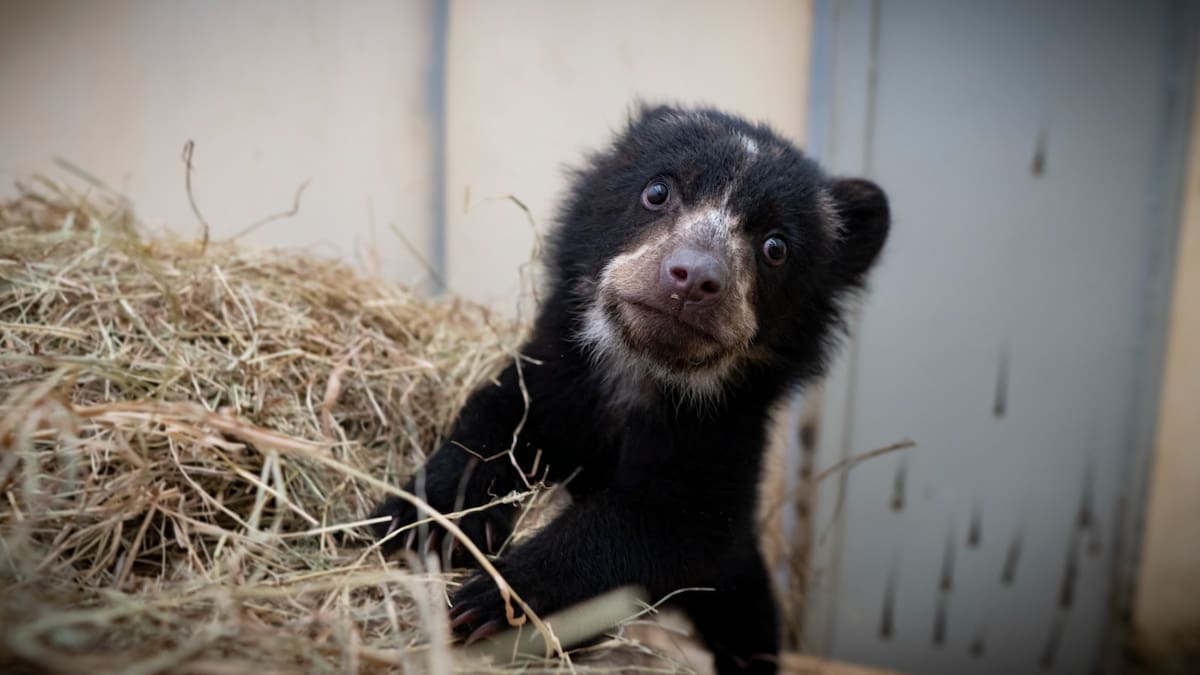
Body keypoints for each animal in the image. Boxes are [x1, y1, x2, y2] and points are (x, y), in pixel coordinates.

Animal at [370, 104, 890, 674]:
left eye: (775, 246)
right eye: (657, 191)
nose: (693, 278)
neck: (641, 372)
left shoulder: (717, 440)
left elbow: (662, 527)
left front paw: (493, 600)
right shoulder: (558, 377)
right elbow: (496, 420)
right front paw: (423, 521)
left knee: (749, 620)